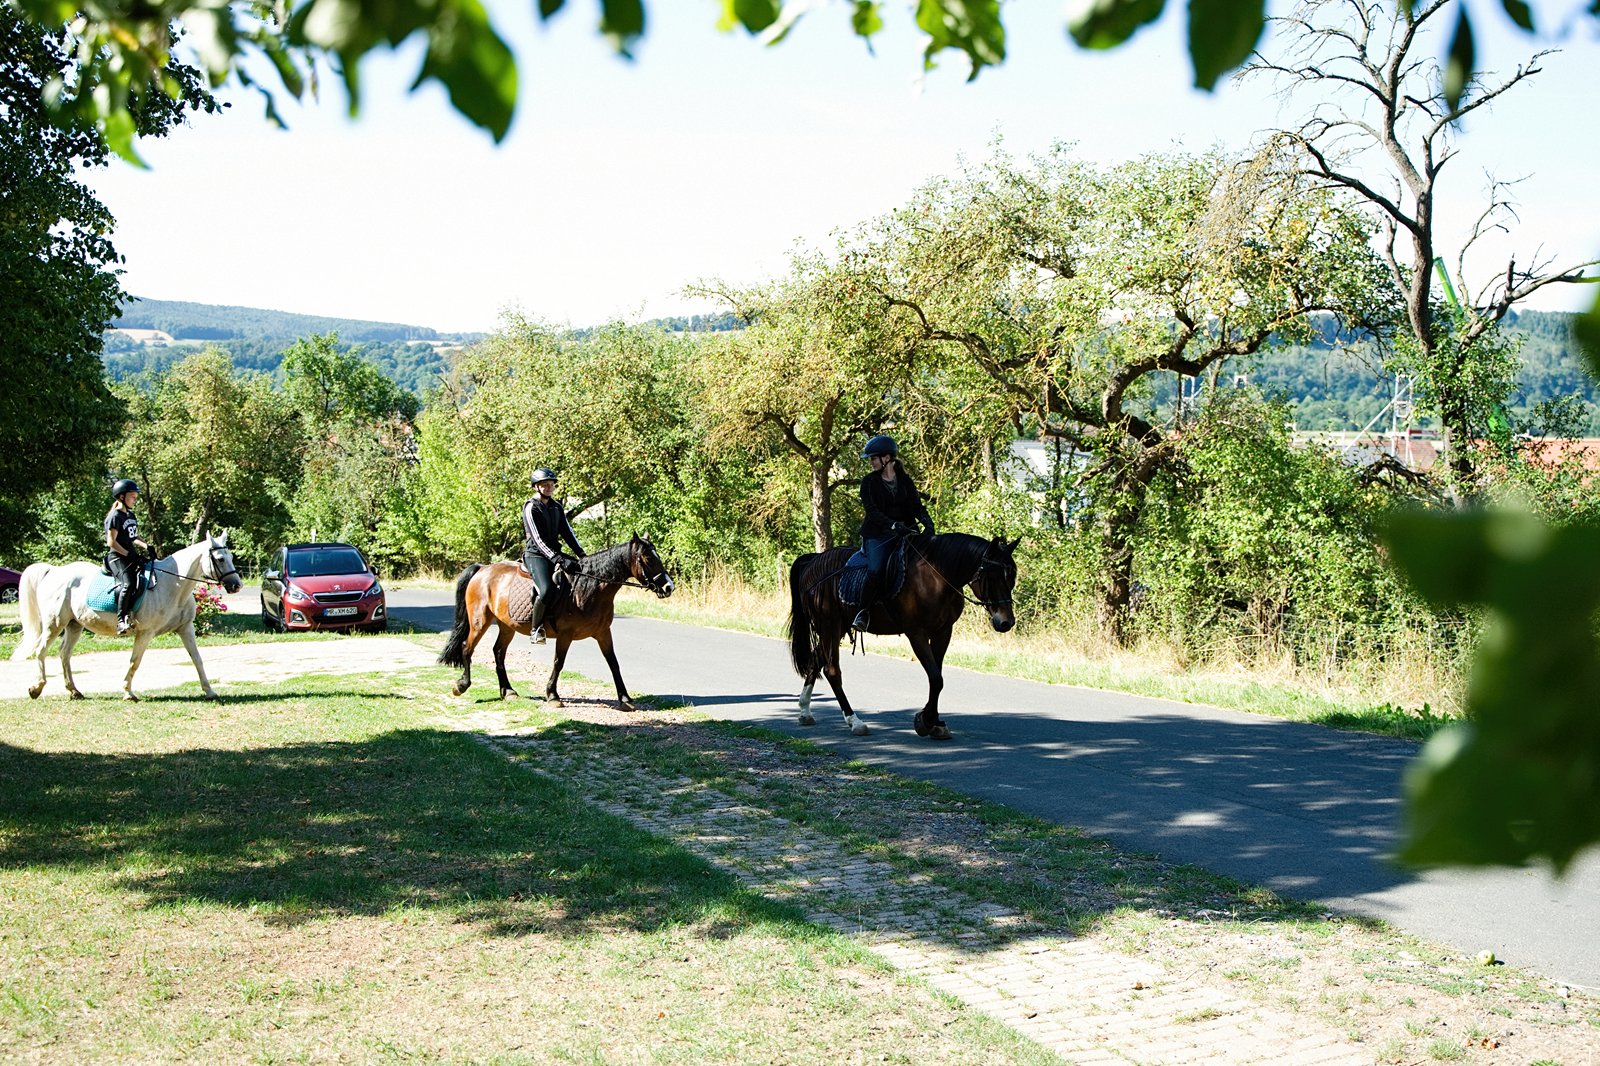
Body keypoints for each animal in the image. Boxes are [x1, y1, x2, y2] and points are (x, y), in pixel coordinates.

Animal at [8, 528, 243, 697]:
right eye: (220, 559)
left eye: (230, 556)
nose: (236, 585)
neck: (174, 584)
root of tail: (54, 571)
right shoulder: (145, 633)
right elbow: (135, 661)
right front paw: (128, 692)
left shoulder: (185, 628)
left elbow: (197, 659)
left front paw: (209, 691)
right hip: (54, 623)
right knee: (41, 651)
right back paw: (36, 688)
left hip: (74, 625)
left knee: (64, 654)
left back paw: (74, 691)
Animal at [435, 531, 672, 704]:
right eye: (647, 558)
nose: (668, 587)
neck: (588, 588)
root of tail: (482, 569)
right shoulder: (566, 635)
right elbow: (559, 662)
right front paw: (553, 695)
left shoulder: (603, 633)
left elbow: (613, 662)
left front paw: (625, 698)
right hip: (479, 621)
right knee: (467, 648)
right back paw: (462, 685)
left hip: (506, 626)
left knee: (499, 653)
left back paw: (508, 690)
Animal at [790, 531, 1024, 739]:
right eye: (991, 576)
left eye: (1011, 576)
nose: (1006, 622)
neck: (936, 576)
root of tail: (813, 561)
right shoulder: (916, 633)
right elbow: (936, 679)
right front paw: (925, 721)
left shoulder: (942, 632)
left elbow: (937, 676)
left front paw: (935, 723)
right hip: (829, 625)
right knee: (831, 671)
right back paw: (855, 721)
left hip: (834, 630)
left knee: (816, 659)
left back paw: (805, 711)